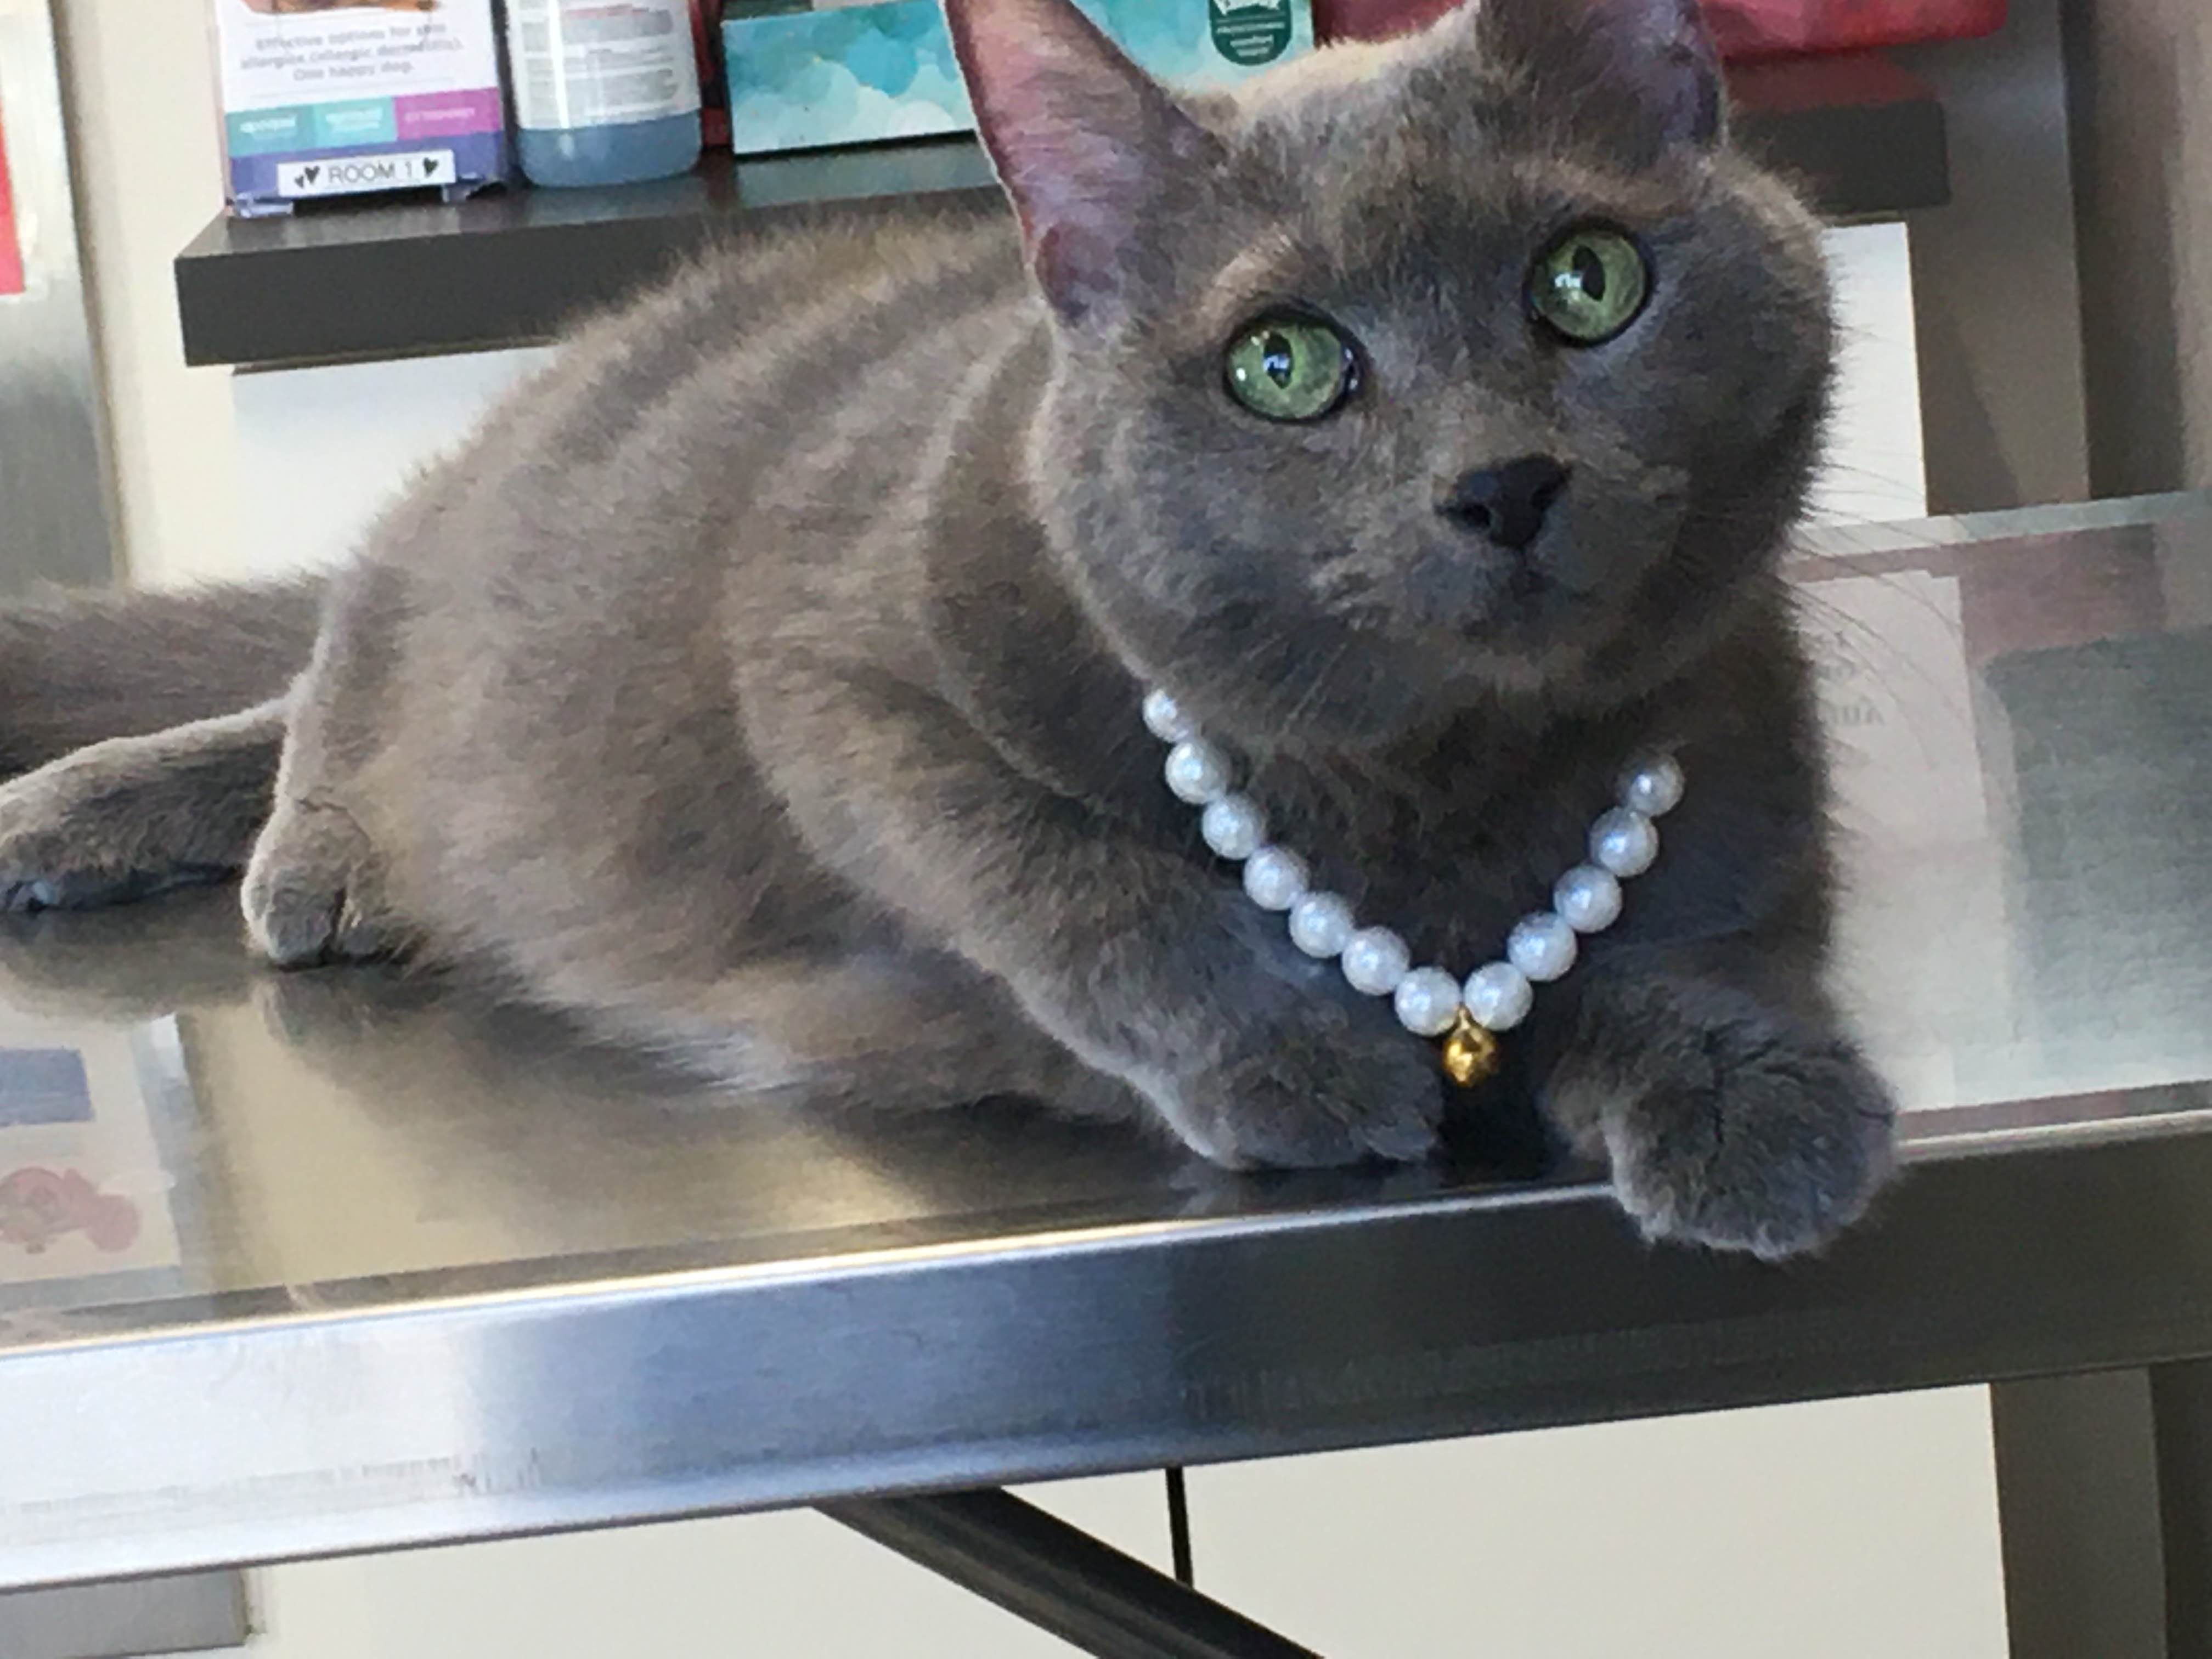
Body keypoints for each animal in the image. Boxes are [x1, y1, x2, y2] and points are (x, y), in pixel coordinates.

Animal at [0, 0, 1902, 1256]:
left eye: (1590, 281)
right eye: (1286, 366)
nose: (1500, 483)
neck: (1432, 789)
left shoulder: (1735, 718)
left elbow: (1706, 912)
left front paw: (1747, 1094)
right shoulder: (834, 668)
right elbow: (1063, 875)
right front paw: (1284, 1051)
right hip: (475, 534)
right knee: (345, 655)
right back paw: (262, 841)